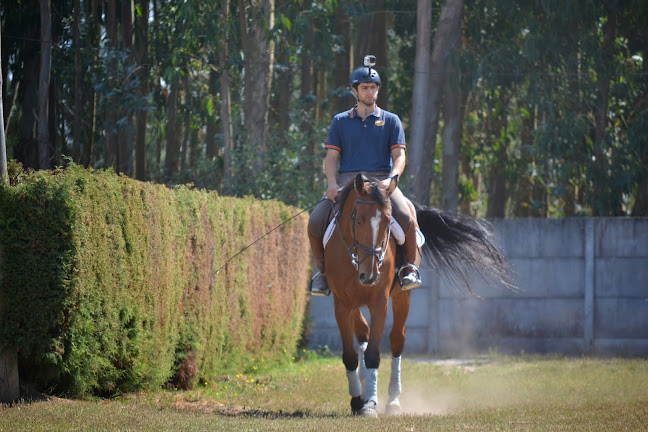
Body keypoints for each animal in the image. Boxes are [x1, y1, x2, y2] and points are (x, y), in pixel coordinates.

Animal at [326, 174, 512, 416]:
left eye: (388, 222)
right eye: (358, 220)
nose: (371, 274)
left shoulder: (380, 302)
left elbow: (373, 354)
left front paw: (370, 404)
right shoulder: (342, 304)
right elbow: (350, 356)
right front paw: (358, 400)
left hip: (401, 297)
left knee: (397, 340)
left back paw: (393, 401)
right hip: (355, 303)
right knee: (363, 333)